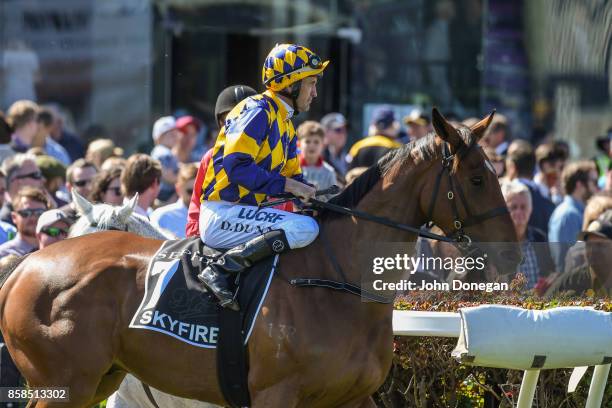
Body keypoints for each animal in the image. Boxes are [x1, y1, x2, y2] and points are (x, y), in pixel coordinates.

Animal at [0, 109, 520, 408]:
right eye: (477, 179)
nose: (512, 256)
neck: (338, 283)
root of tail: (26, 266)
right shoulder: (274, 395)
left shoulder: (351, 398)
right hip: (65, 384)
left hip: (95, 383)